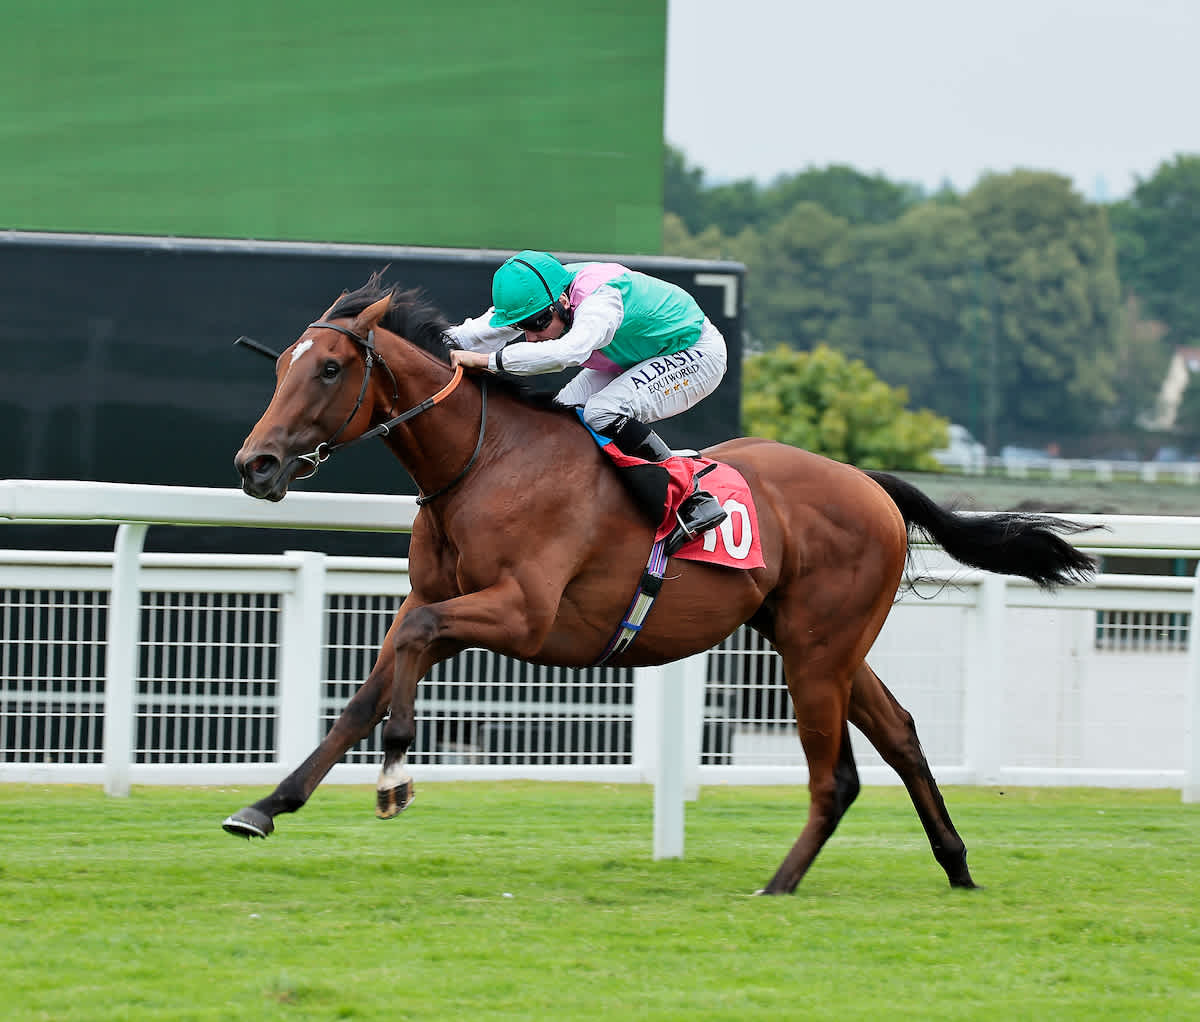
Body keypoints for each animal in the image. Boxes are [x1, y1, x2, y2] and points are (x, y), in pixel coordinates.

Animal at [224, 273, 1095, 894]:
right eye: (283, 366)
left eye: (329, 368)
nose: (255, 465)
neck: (483, 461)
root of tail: (871, 485)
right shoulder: (440, 598)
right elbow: (367, 690)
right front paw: (265, 806)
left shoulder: (521, 613)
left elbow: (410, 644)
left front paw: (398, 771)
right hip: (823, 640)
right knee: (904, 735)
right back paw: (956, 865)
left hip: (816, 651)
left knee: (837, 776)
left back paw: (779, 885)